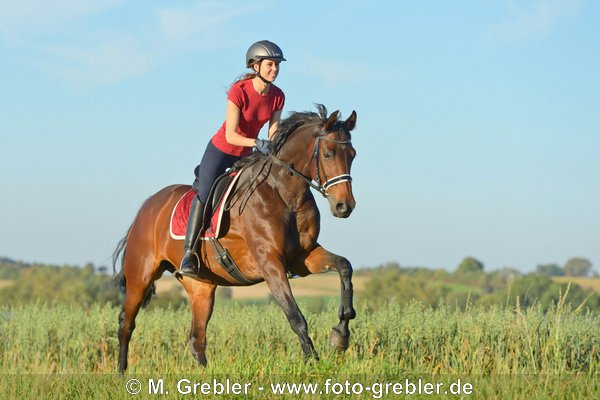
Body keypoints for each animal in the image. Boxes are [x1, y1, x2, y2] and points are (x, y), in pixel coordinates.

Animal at [112, 104, 356, 374]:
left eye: (353, 155)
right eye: (328, 154)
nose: (345, 206)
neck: (284, 193)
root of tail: (147, 207)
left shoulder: (303, 257)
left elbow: (345, 266)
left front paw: (341, 334)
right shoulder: (270, 263)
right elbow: (295, 316)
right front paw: (313, 362)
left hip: (201, 288)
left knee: (196, 338)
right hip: (141, 276)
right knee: (126, 324)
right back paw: (121, 373)